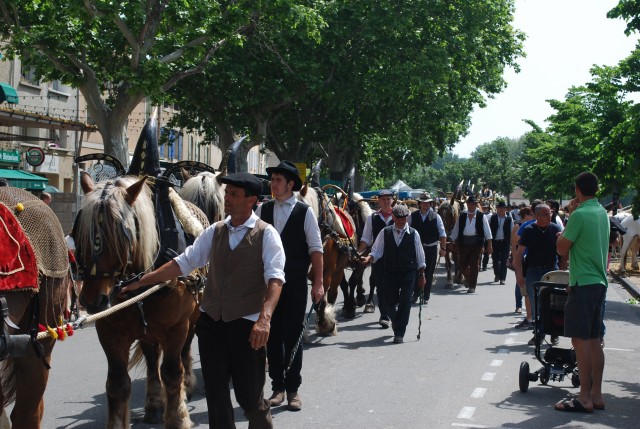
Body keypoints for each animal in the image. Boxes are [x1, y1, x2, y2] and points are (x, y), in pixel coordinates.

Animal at [74, 174, 208, 428]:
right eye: (79, 233)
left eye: (120, 234)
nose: (93, 301)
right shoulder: (109, 331)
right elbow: (118, 383)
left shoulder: (176, 327)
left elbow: (172, 373)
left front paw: (178, 417)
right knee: (152, 358)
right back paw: (154, 405)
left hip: (192, 319)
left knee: (182, 353)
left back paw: (185, 387)